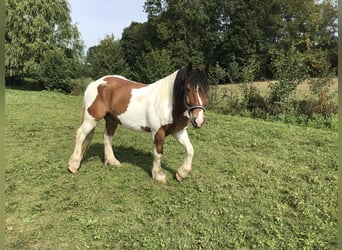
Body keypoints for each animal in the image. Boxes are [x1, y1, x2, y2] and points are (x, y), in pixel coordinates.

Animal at [68, 63, 210, 183]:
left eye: (206, 89)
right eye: (187, 88)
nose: (198, 120)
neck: (168, 102)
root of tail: (96, 83)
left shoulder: (178, 131)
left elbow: (190, 150)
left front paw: (181, 173)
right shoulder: (158, 132)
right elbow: (158, 154)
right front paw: (158, 175)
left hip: (112, 120)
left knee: (107, 137)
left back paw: (112, 161)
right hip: (91, 119)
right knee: (80, 135)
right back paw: (73, 165)